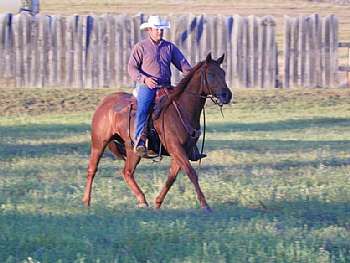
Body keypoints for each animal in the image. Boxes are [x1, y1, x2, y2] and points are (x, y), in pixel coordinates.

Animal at [82, 53, 232, 212]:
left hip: (132, 150)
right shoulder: (176, 149)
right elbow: (191, 173)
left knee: (127, 173)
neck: (180, 109)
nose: (227, 95)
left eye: (223, 73)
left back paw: (142, 200)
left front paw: (158, 202)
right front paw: (205, 205)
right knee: (93, 169)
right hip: (99, 144)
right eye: (211, 74)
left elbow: (171, 177)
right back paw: (86, 201)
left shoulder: (181, 152)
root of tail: (104, 103)